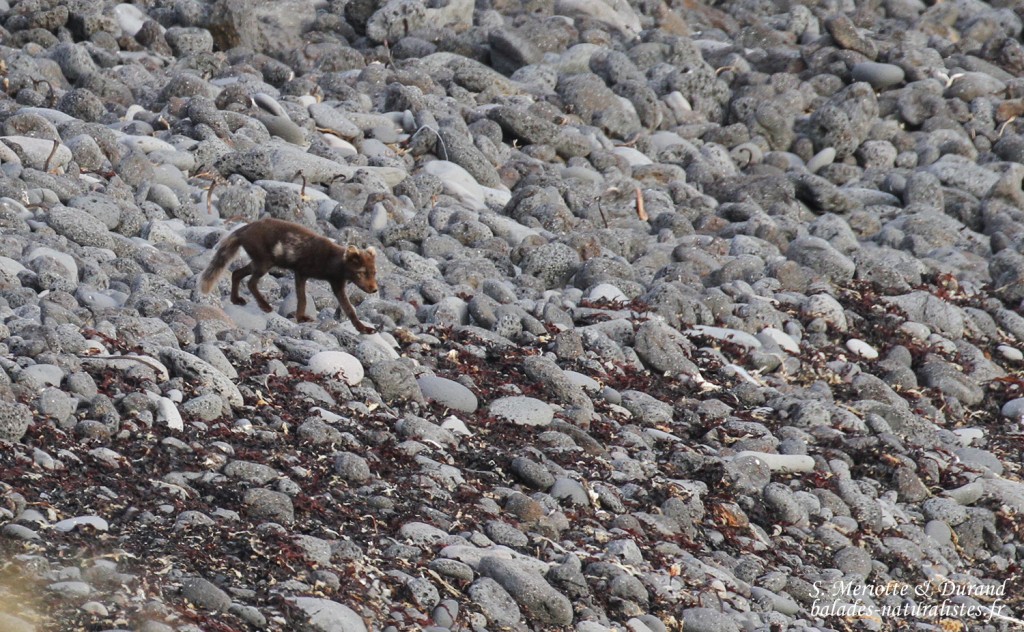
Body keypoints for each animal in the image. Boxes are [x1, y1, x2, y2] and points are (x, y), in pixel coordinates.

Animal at [199, 218, 378, 333]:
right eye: (362, 273)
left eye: (374, 273)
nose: (375, 289)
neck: (331, 260)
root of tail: (244, 229)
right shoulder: (301, 272)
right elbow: (302, 298)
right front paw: (301, 318)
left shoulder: (337, 284)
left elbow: (349, 309)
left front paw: (364, 329)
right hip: (264, 262)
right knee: (250, 282)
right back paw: (265, 306)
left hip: (258, 262)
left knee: (237, 273)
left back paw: (236, 299)